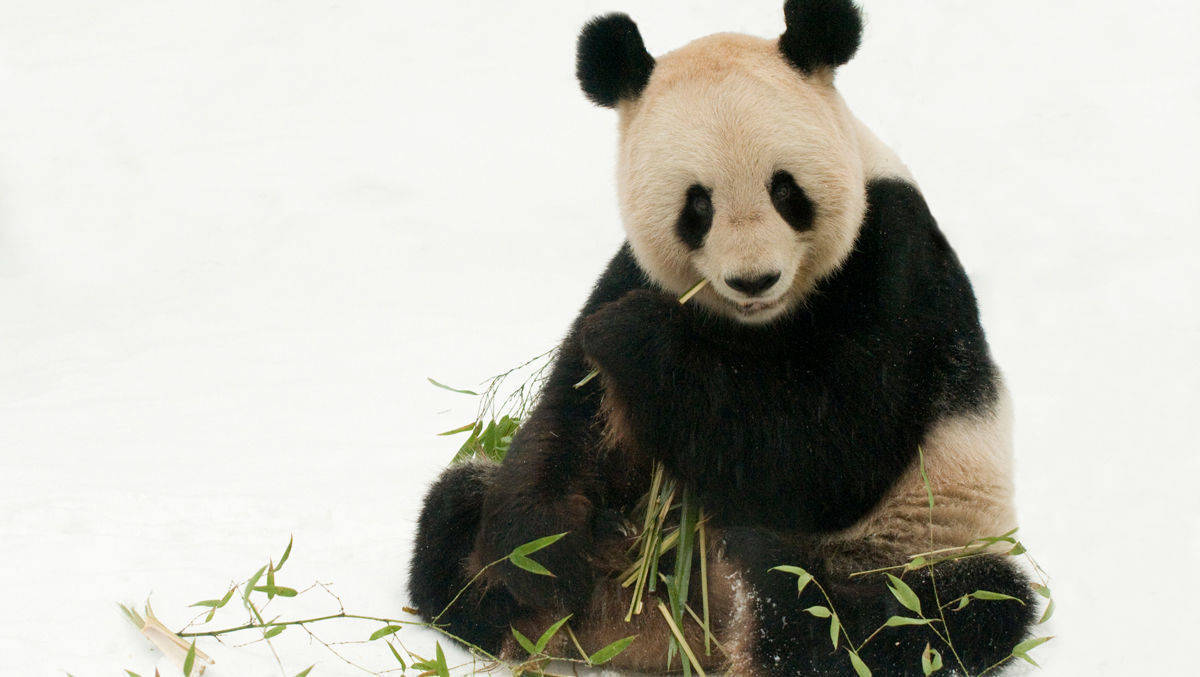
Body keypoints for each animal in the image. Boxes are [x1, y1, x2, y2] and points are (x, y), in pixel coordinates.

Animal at [408, 2, 1036, 672]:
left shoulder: (894, 260)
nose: (753, 278)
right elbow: (569, 424)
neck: (758, 321)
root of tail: (656, 634)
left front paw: (637, 336)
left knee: (921, 618)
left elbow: (832, 452)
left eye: (786, 190)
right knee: (455, 509)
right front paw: (546, 562)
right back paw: (532, 600)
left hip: (925, 541)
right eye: (697, 205)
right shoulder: (632, 271)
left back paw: (755, 579)